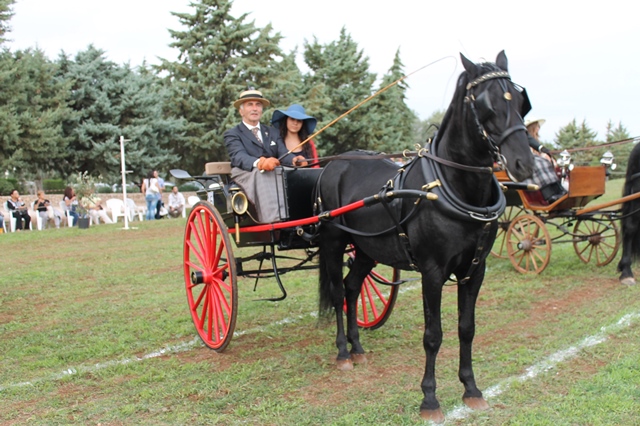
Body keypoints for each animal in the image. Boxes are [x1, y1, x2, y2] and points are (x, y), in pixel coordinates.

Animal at [314, 51, 535, 422]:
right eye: (485, 104)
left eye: (521, 102)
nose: (525, 164)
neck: (454, 186)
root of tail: (334, 164)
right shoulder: (432, 272)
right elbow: (433, 335)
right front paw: (430, 399)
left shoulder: (475, 270)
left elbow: (466, 328)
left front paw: (471, 389)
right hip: (332, 241)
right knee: (337, 291)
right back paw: (343, 352)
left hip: (366, 249)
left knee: (352, 286)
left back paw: (358, 348)